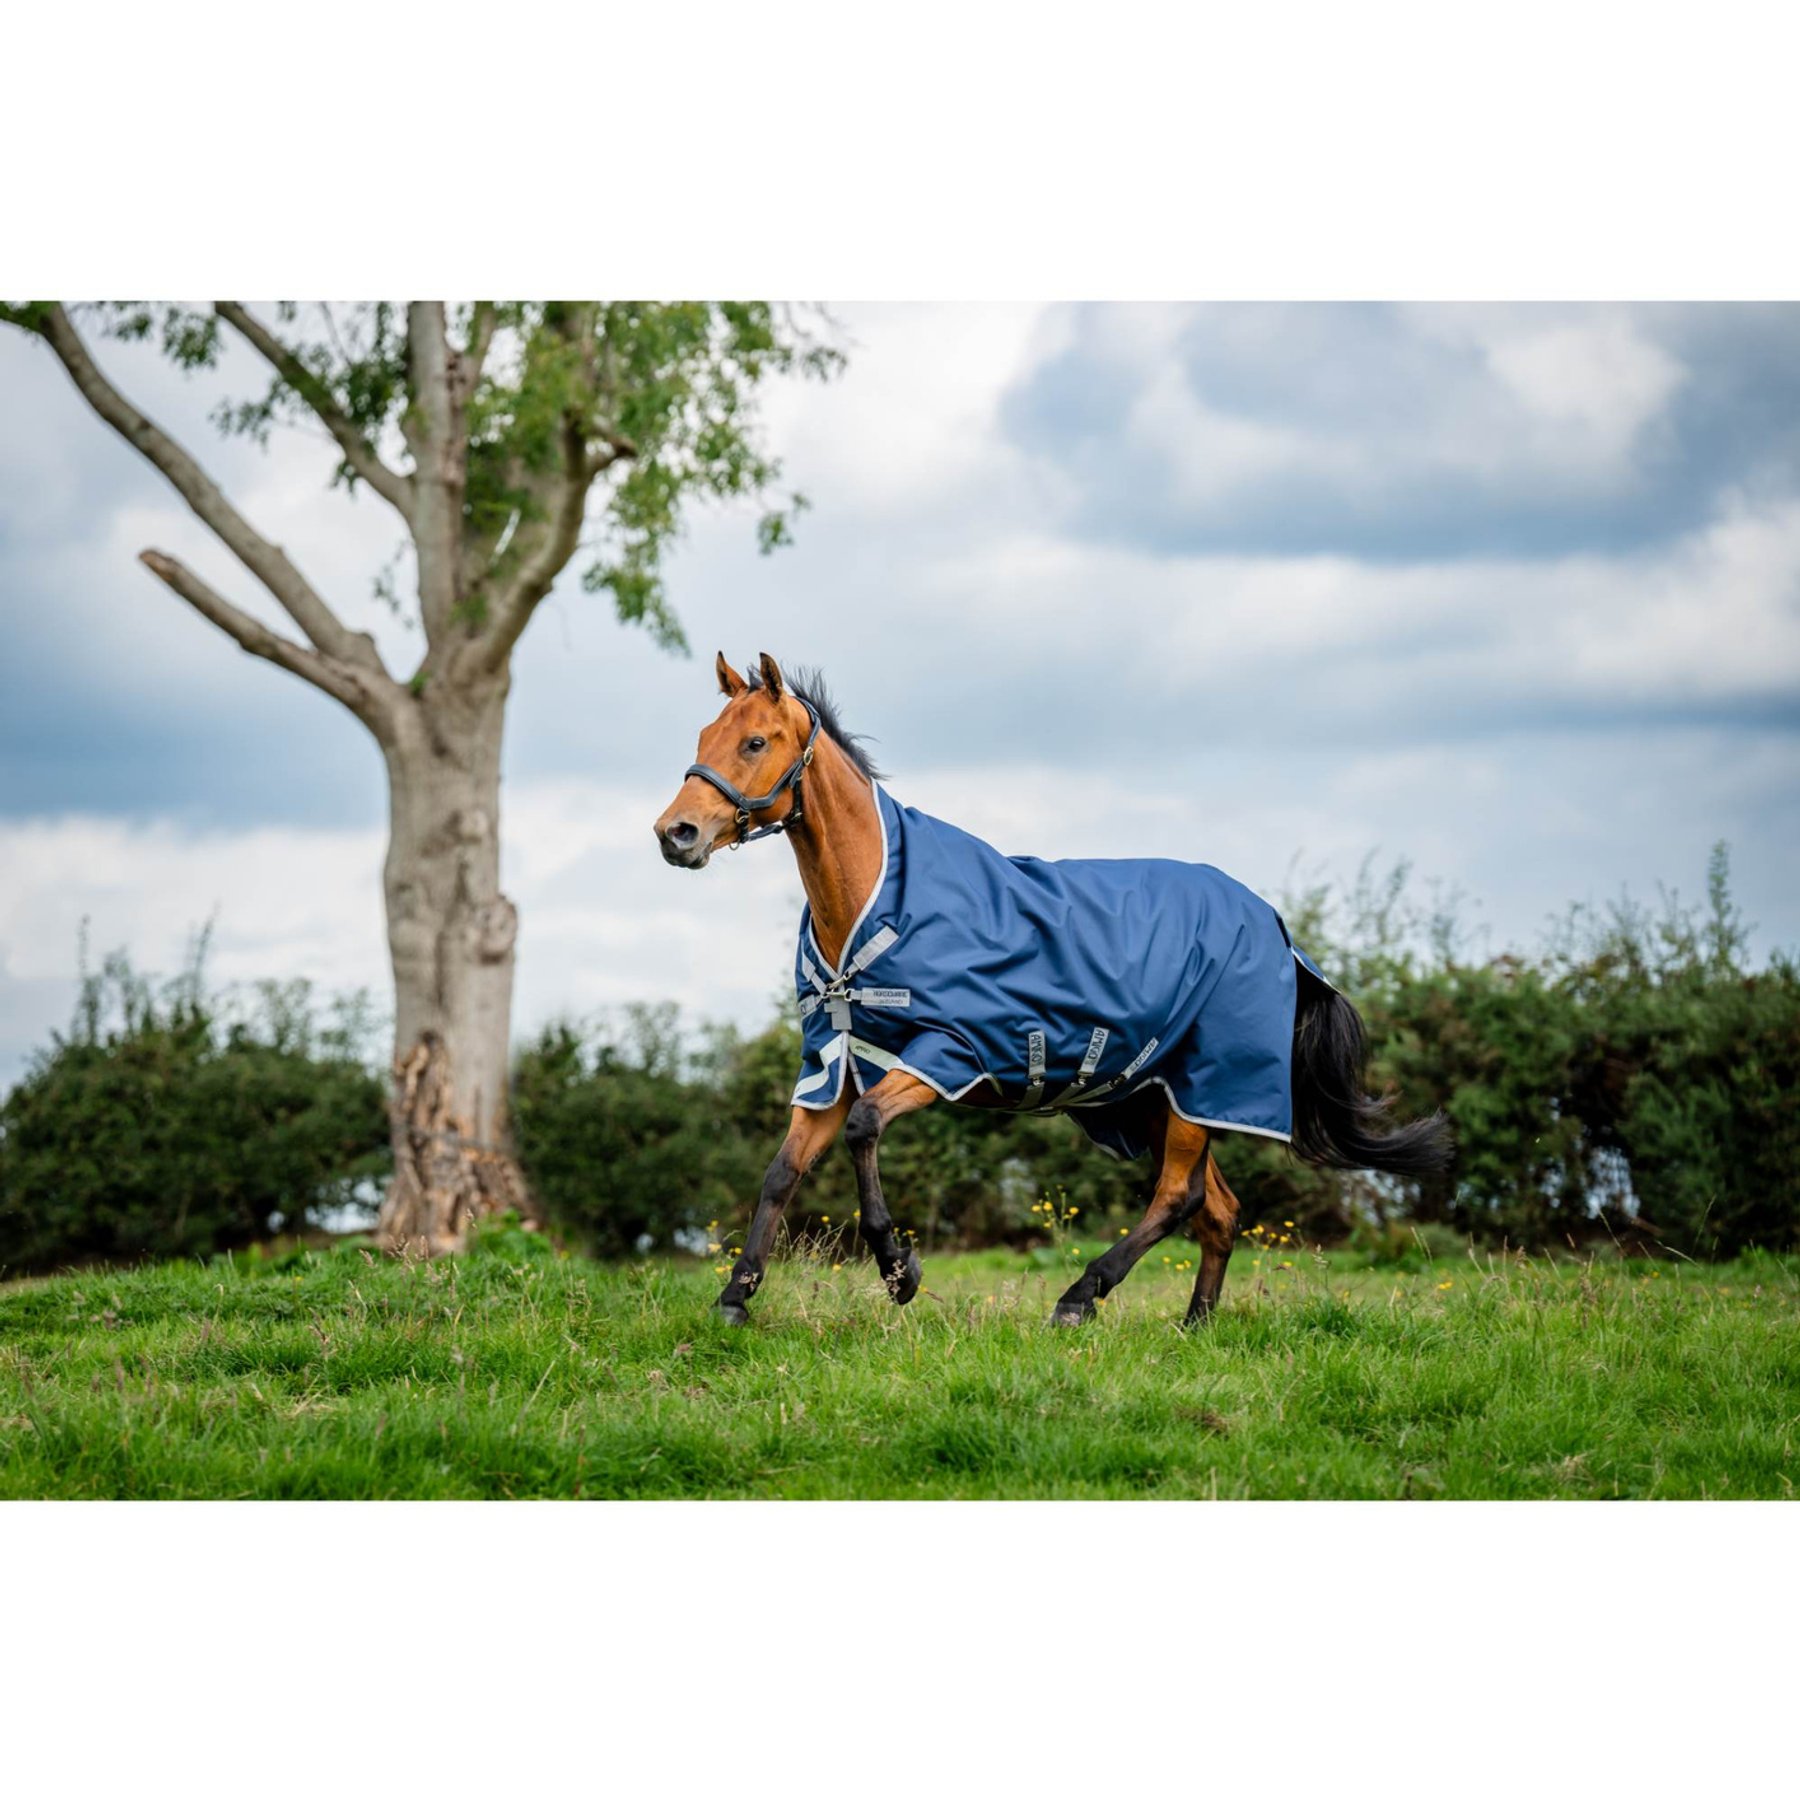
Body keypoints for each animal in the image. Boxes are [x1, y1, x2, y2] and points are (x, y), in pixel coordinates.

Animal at [655, 652, 1451, 1328]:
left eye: (755, 742)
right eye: (705, 734)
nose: (675, 834)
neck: (877, 900)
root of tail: (1277, 930)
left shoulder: (949, 1052)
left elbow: (866, 1130)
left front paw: (898, 1268)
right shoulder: (832, 1064)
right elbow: (781, 1172)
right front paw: (735, 1298)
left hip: (1201, 1087)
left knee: (1180, 1196)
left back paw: (1080, 1296)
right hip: (1153, 1096)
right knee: (1219, 1210)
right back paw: (1195, 1324)